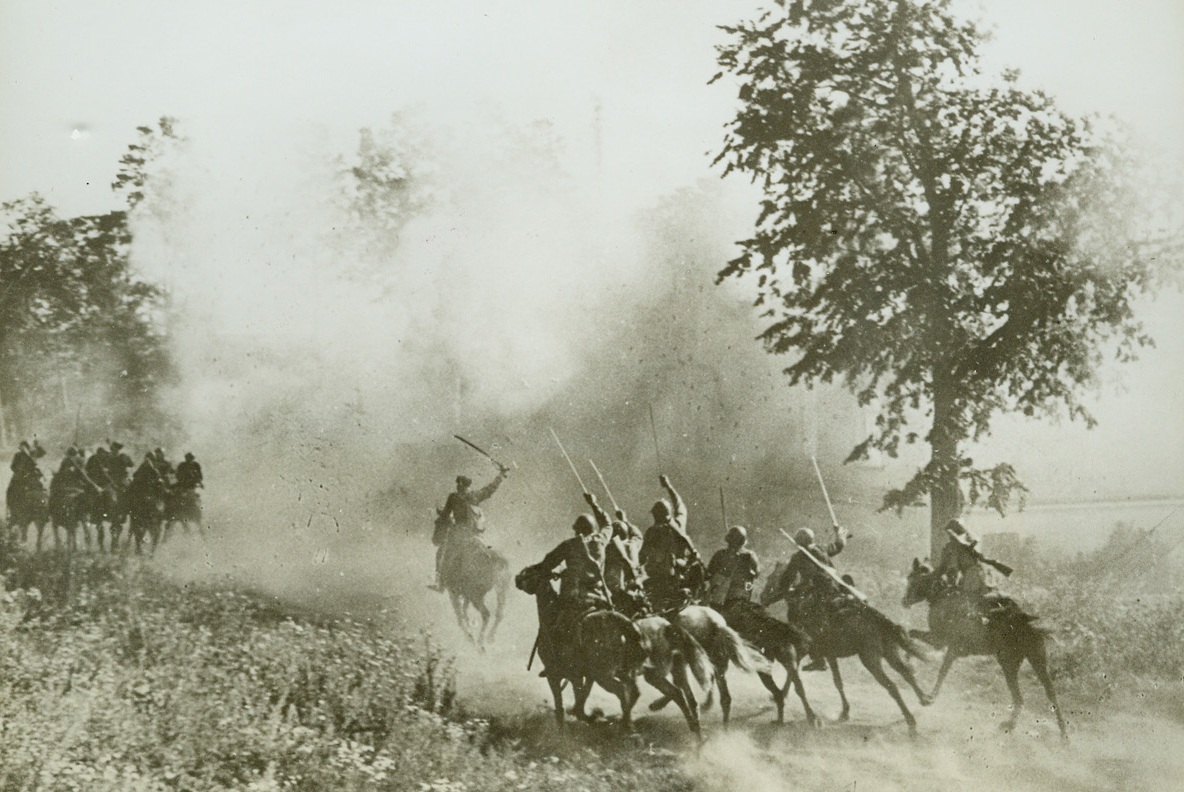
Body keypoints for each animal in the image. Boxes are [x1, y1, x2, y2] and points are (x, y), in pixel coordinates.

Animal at [513, 561, 705, 733]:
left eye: (530, 571)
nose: (517, 579)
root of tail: (668, 626)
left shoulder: (558, 675)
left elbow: (563, 706)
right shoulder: (582, 676)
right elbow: (580, 698)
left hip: (607, 675)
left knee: (631, 692)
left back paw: (627, 724)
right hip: (652, 674)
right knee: (678, 694)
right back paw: (694, 732)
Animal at [757, 558, 932, 733]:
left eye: (771, 578)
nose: (762, 597)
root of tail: (876, 616)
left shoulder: (804, 648)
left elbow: (794, 674)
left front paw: (783, 694)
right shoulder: (830, 654)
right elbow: (838, 682)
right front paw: (845, 711)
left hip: (870, 660)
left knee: (892, 686)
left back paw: (911, 720)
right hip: (890, 653)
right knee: (906, 672)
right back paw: (924, 699)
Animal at [899, 558, 1070, 738]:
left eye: (913, 579)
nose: (904, 600)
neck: (943, 595)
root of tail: (1030, 624)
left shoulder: (942, 642)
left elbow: (940, 668)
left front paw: (928, 696)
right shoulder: (944, 644)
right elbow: (912, 636)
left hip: (1010, 663)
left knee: (1024, 696)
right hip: (1034, 660)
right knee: (1044, 694)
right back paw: (1059, 735)